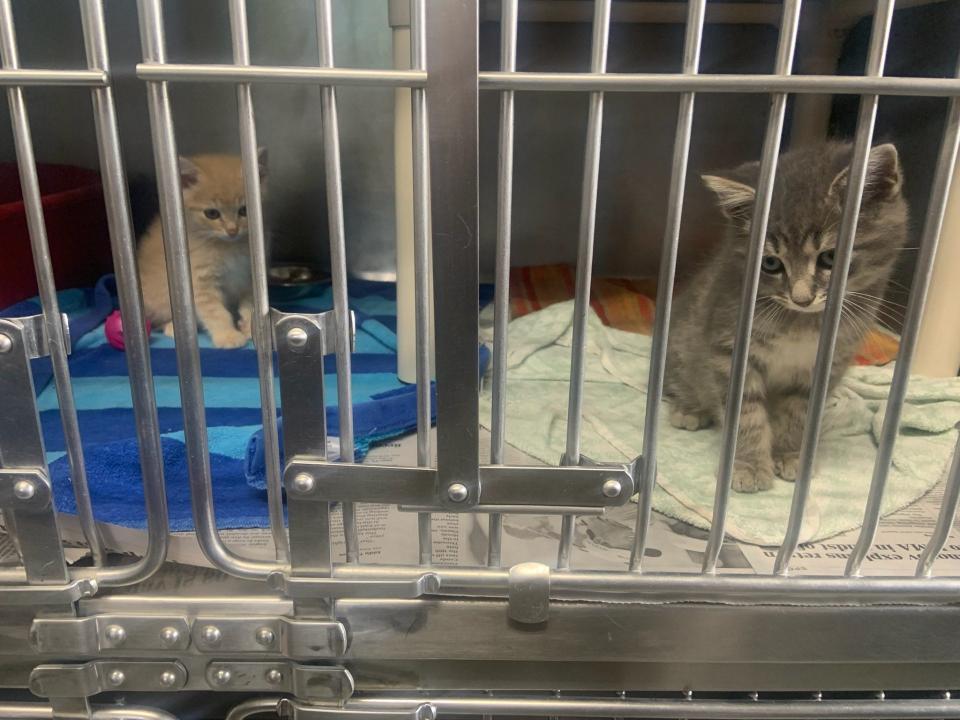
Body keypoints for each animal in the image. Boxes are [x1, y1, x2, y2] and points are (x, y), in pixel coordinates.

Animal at [135, 151, 262, 348]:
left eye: (244, 210)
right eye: (212, 214)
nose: (232, 230)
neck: (227, 246)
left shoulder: (249, 278)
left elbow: (250, 305)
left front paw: (250, 327)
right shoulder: (200, 282)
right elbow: (216, 312)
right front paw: (228, 336)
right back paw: (174, 328)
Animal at [668, 143, 908, 492]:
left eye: (830, 258)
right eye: (770, 263)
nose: (801, 298)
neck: (802, 323)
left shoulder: (829, 362)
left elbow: (800, 411)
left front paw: (791, 454)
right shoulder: (729, 346)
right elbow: (745, 411)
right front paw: (749, 465)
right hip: (684, 340)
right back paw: (691, 408)